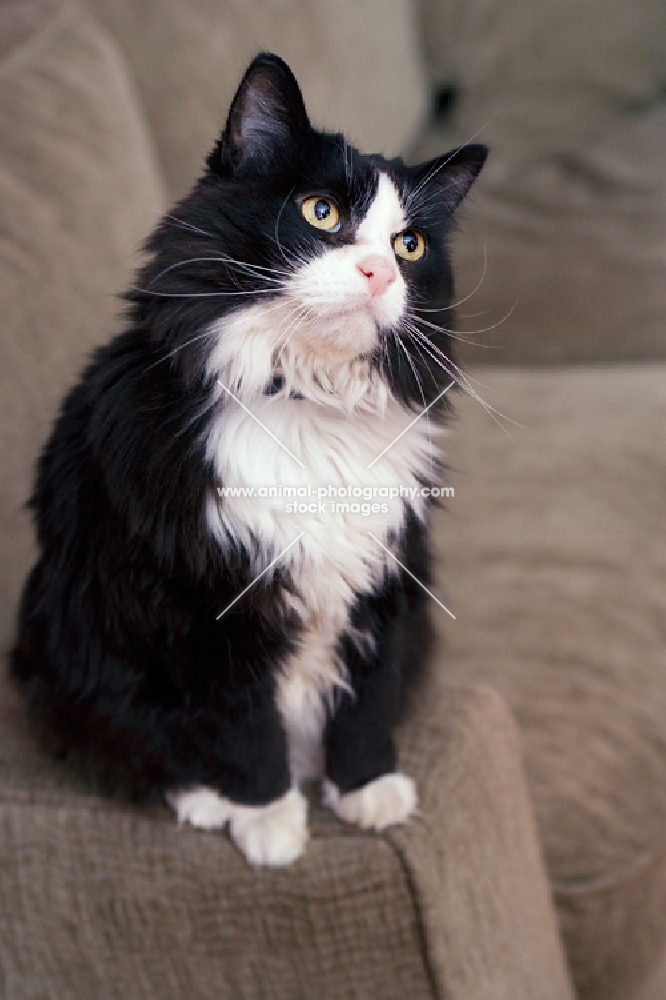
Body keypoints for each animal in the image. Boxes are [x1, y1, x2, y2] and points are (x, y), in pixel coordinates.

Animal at [10, 56, 486, 868]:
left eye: (410, 247)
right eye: (322, 212)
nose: (379, 273)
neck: (307, 400)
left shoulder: (384, 578)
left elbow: (367, 699)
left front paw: (366, 789)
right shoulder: (205, 604)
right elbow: (242, 725)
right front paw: (267, 819)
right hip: (72, 649)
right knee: (134, 747)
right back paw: (212, 800)